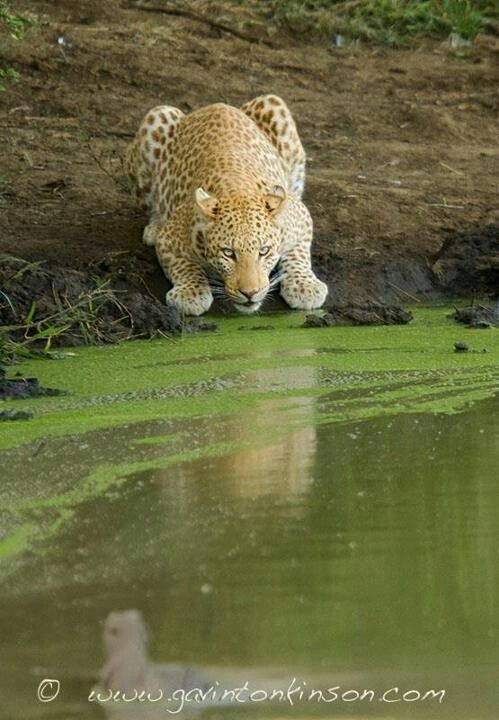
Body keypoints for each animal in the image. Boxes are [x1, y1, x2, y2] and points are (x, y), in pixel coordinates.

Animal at [126, 93, 328, 316]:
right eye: (228, 253)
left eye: (264, 251)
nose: (250, 293)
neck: (238, 189)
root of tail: (217, 105)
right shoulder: (169, 240)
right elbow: (183, 266)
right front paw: (191, 293)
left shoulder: (301, 218)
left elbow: (298, 255)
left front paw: (305, 287)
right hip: (157, 118)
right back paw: (154, 227)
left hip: (274, 106)